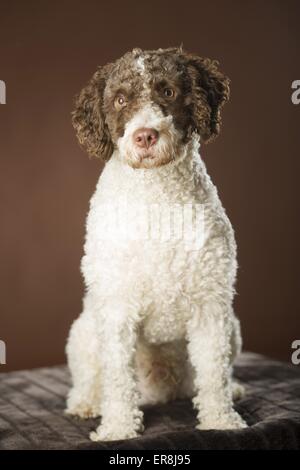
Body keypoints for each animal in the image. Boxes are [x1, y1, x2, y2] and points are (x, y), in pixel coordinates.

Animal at [65, 46, 246, 440]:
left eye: (167, 92)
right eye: (120, 100)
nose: (146, 136)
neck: (157, 200)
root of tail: (163, 387)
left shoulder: (210, 304)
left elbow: (214, 374)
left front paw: (221, 421)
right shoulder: (116, 307)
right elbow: (118, 378)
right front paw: (118, 428)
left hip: (233, 327)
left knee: (215, 372)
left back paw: (236, 388)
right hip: (84, 330)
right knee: (90, 378)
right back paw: (86, 403)